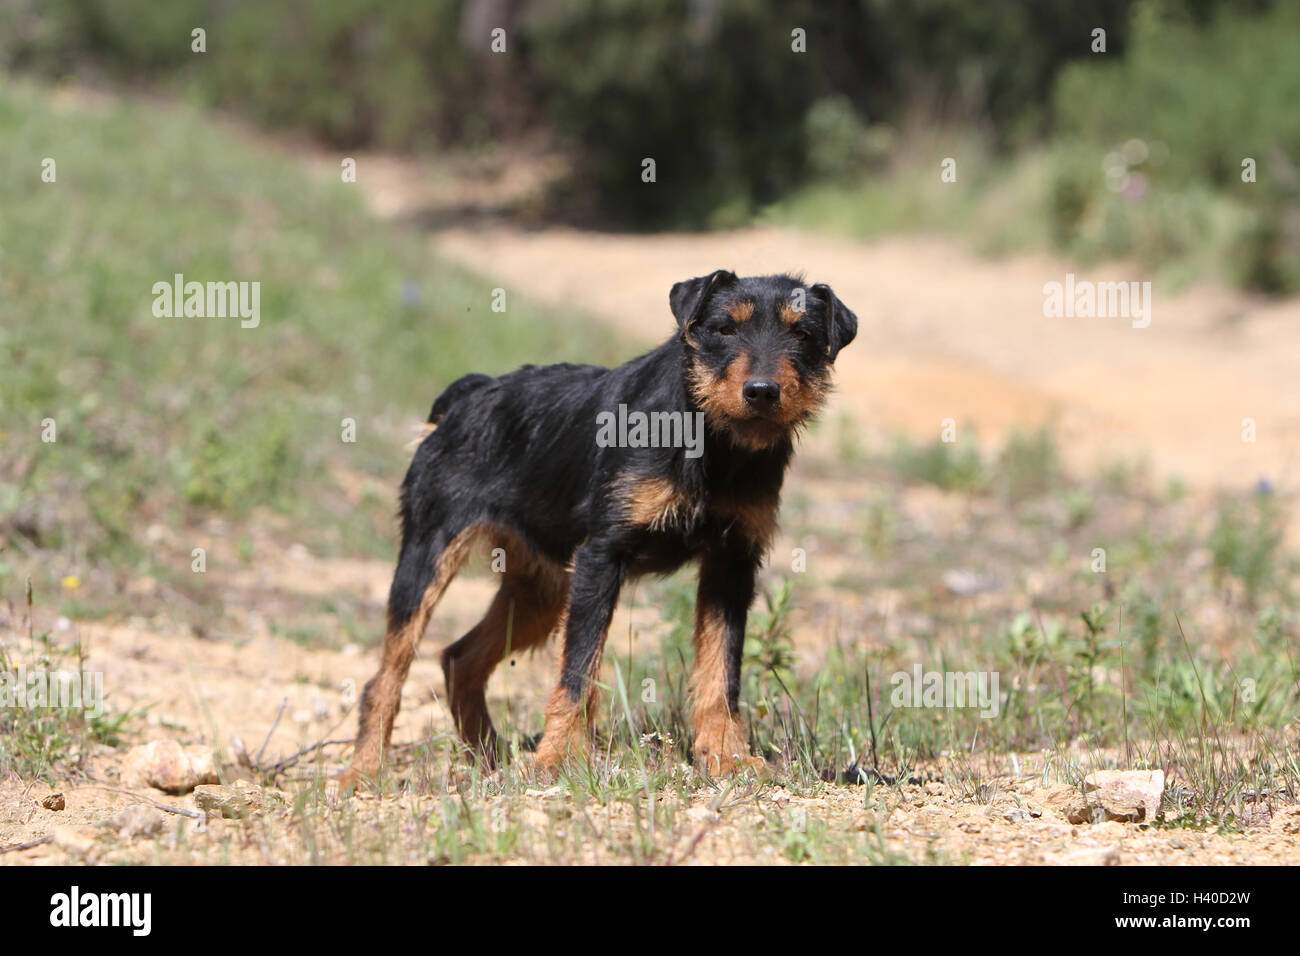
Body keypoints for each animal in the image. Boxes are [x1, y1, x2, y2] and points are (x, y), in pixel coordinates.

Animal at [340, 269, 857, 785]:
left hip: (541, 592)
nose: (761, 391)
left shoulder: (731, 565)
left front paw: (725, 754)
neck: (708, 437)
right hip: (429, 558)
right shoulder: (600, 557)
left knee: (459, 658)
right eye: (725, 329)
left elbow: (720, 670)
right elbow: (578, 668)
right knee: (385, 677)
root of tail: (469, 394)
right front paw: (559, 757)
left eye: (802, 335)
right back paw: (363, 771)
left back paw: (489, 757)